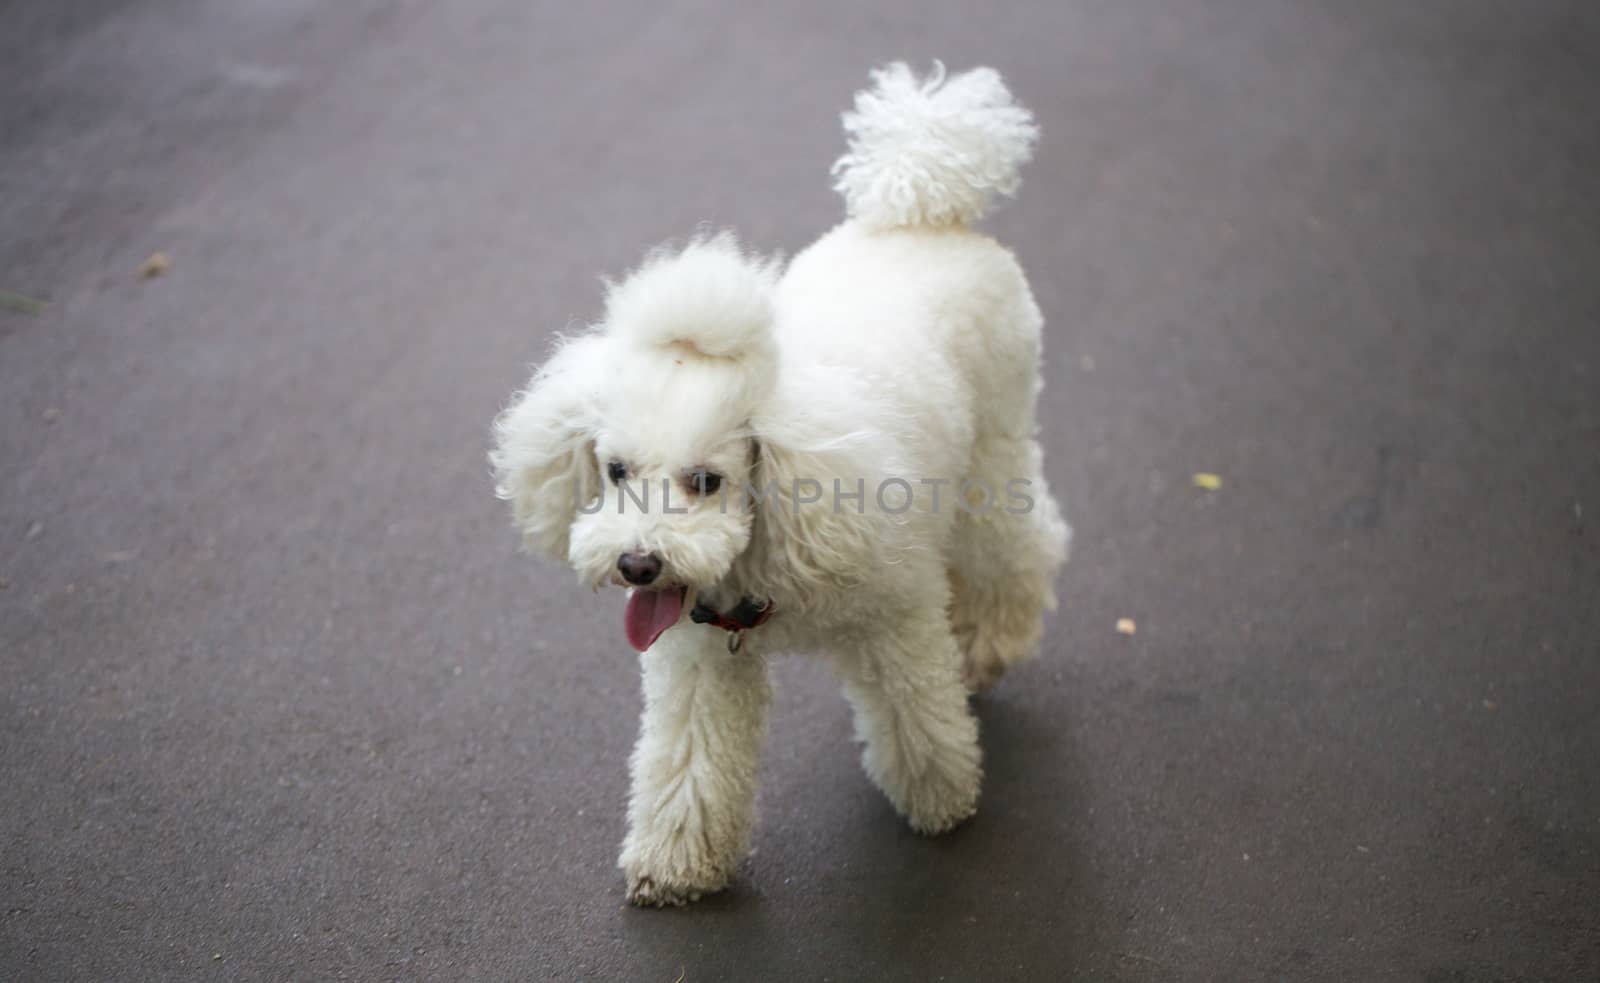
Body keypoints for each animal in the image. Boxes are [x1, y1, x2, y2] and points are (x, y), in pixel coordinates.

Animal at [492, 61, 1068, 909]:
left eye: (707, 480)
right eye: (617, 471)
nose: (637, 564)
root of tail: (923, 209)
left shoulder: (894, 615)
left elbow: (916, 711)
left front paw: (940, 798)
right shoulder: (701, 655)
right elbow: (690, 761)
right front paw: (675, 864)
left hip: (990, 457)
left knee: (1018, 549)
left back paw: (989, 643)